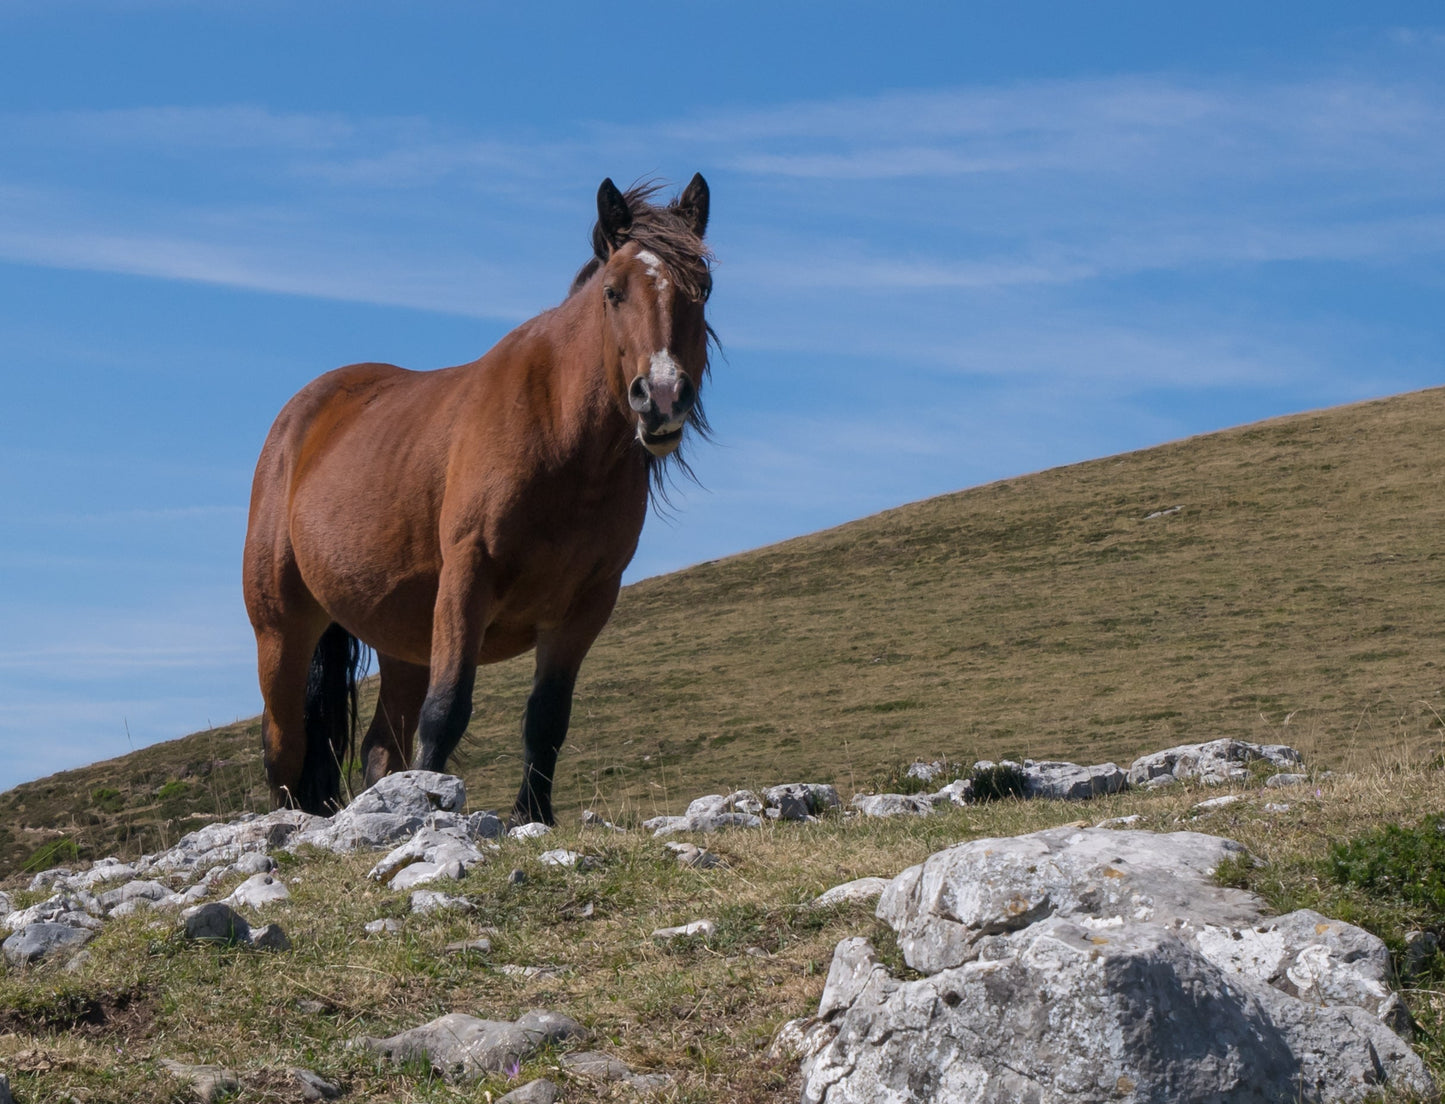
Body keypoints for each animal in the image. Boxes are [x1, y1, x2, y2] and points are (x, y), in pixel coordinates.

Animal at [241, 174, 713, 825]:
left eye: (703, 289)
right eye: (614, 292)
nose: (662, 396)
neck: (561, 438)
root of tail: (298, 419)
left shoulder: (585, 607)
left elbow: (547, 721)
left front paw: (531, 815)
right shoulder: (468, 579)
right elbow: (447, 712)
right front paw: (434, 807)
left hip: (404, 640)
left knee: (379, 749)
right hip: (282, 629)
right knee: (284, 747)